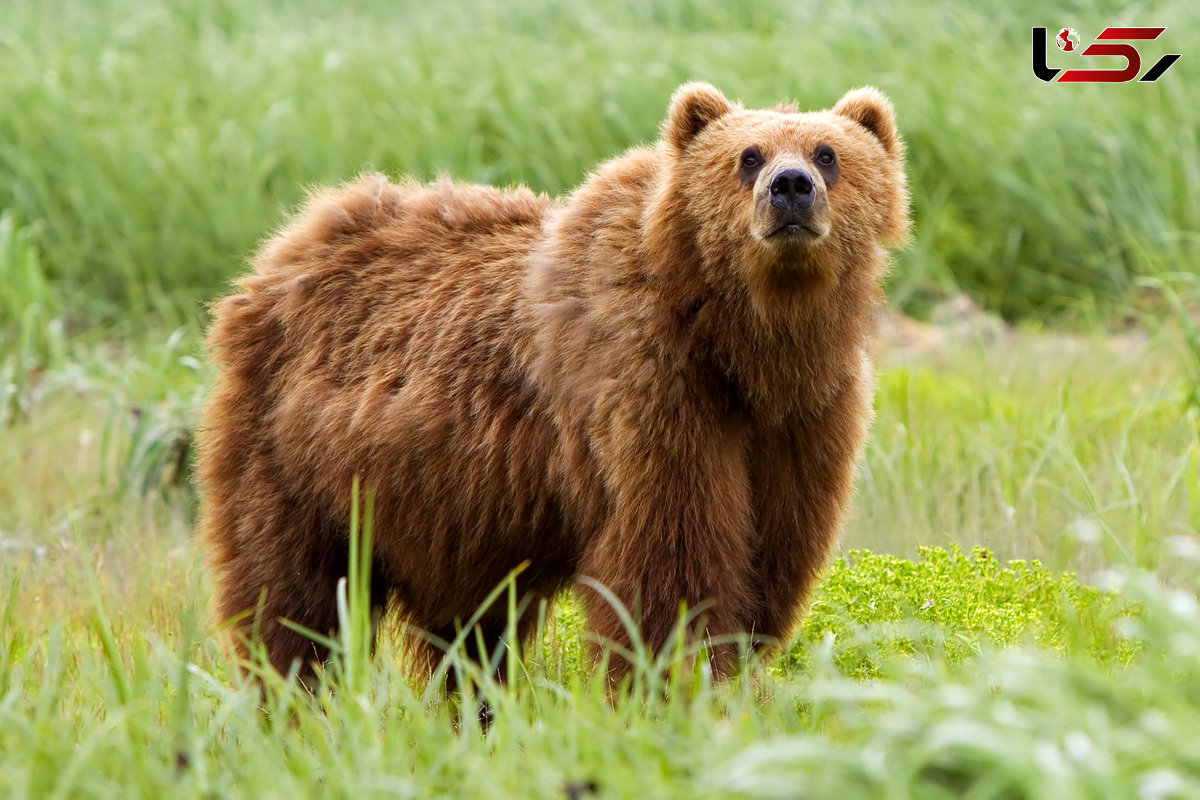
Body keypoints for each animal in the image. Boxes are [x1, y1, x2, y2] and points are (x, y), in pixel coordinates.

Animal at [196, 81, 907, 686]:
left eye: (828, 153)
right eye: (747, 156)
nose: (790, 187)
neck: (742, 346)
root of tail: (286, 246)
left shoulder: (803, 421)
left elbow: (770, 562)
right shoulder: (650, 392)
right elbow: (670, 566)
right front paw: (674, 682)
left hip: (449, 512)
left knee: (468, 633)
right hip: (295, 458)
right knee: (292, 598)